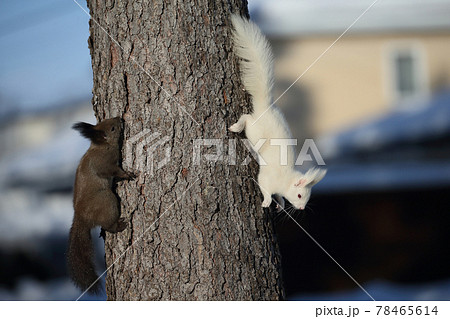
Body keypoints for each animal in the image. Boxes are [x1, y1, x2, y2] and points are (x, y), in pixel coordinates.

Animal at [67, 117, 134, 296]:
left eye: (109, 120)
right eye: (112, 128)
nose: (120, 118)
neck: (101, 146)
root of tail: (82, 217)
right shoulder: (104, 163)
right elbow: (113, 171)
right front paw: (128, 174)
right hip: (107, 200)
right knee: (108, 225)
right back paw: (119, 225)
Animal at [230, 14, 326, 212]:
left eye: (307, 198)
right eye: (299, 195)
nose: (301, 209)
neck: (285, 180)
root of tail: (266, 107)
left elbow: (279, 196)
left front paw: (280, 203)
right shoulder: (268, 178)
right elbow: (264, 187)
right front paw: (267, 201)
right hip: (256, 130)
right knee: (246, 118)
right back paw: (236, 127)